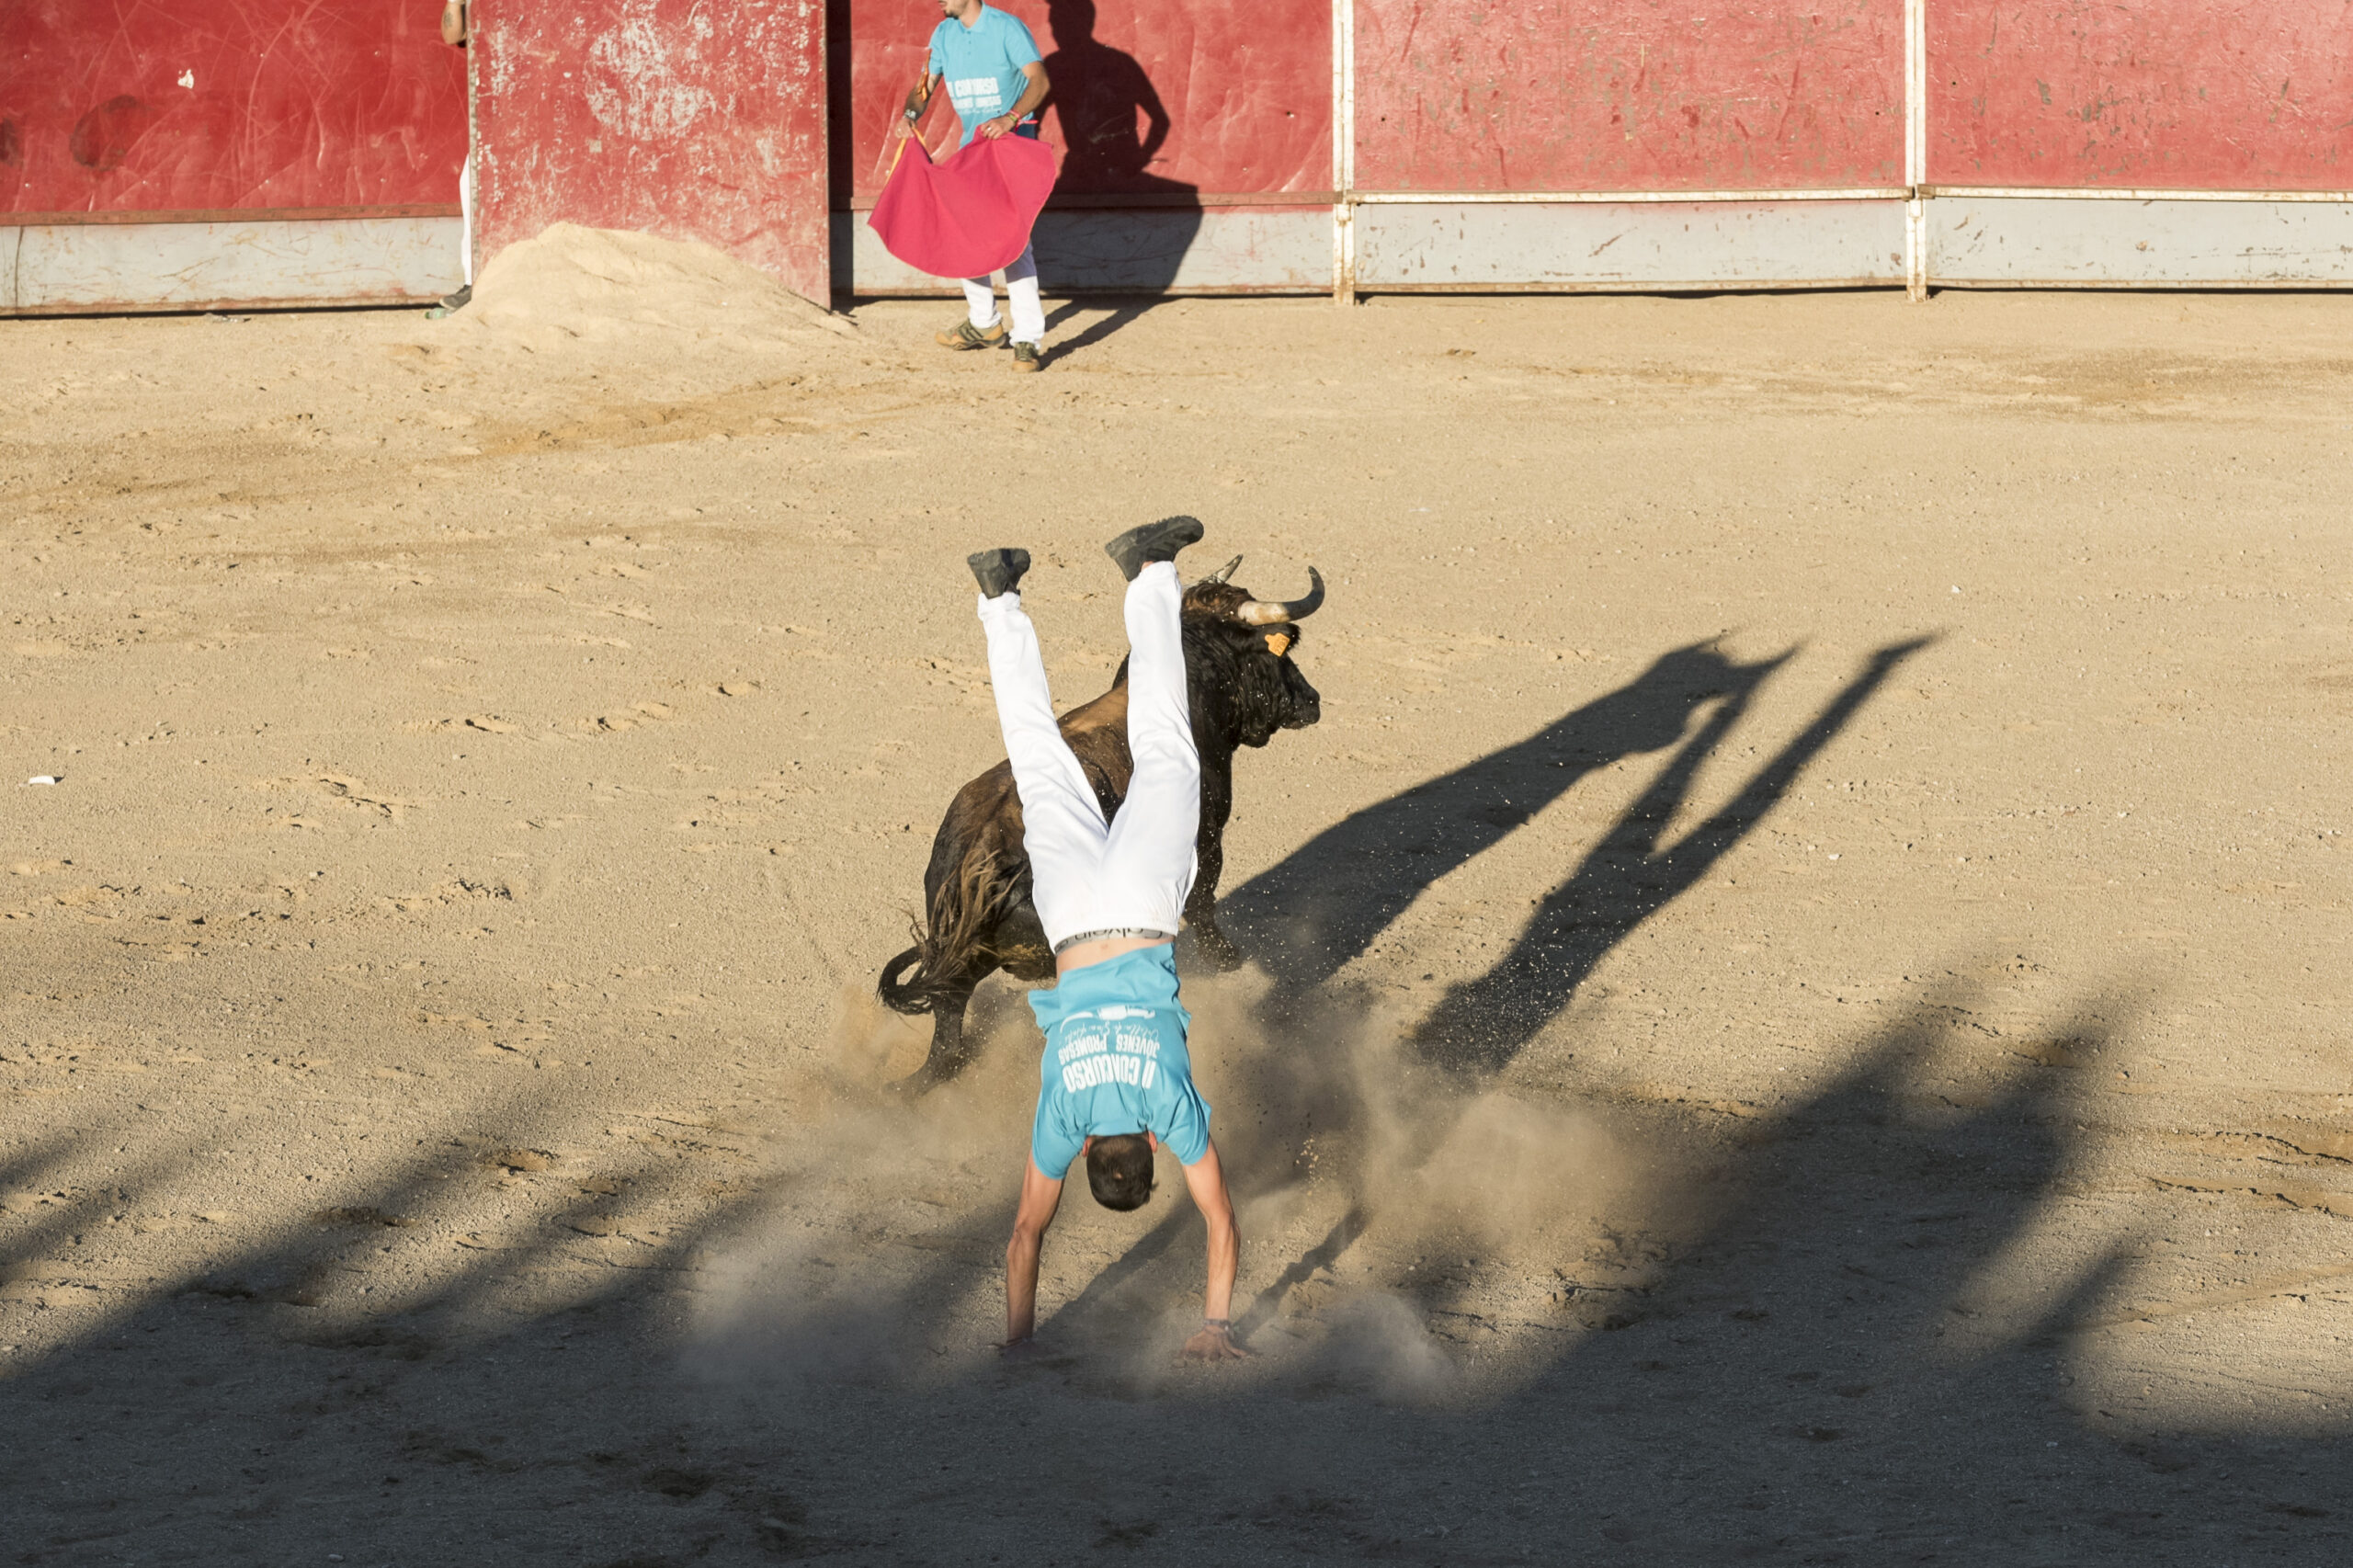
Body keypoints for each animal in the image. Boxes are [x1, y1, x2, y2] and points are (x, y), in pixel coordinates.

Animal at [884, 555, 1326, 1083]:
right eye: (1278, 651)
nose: (1312, 700)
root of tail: (982, 852)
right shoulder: (1206, 843)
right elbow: (1203, 905)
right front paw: (1228, 962)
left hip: (959, 972)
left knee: (947, 1046)